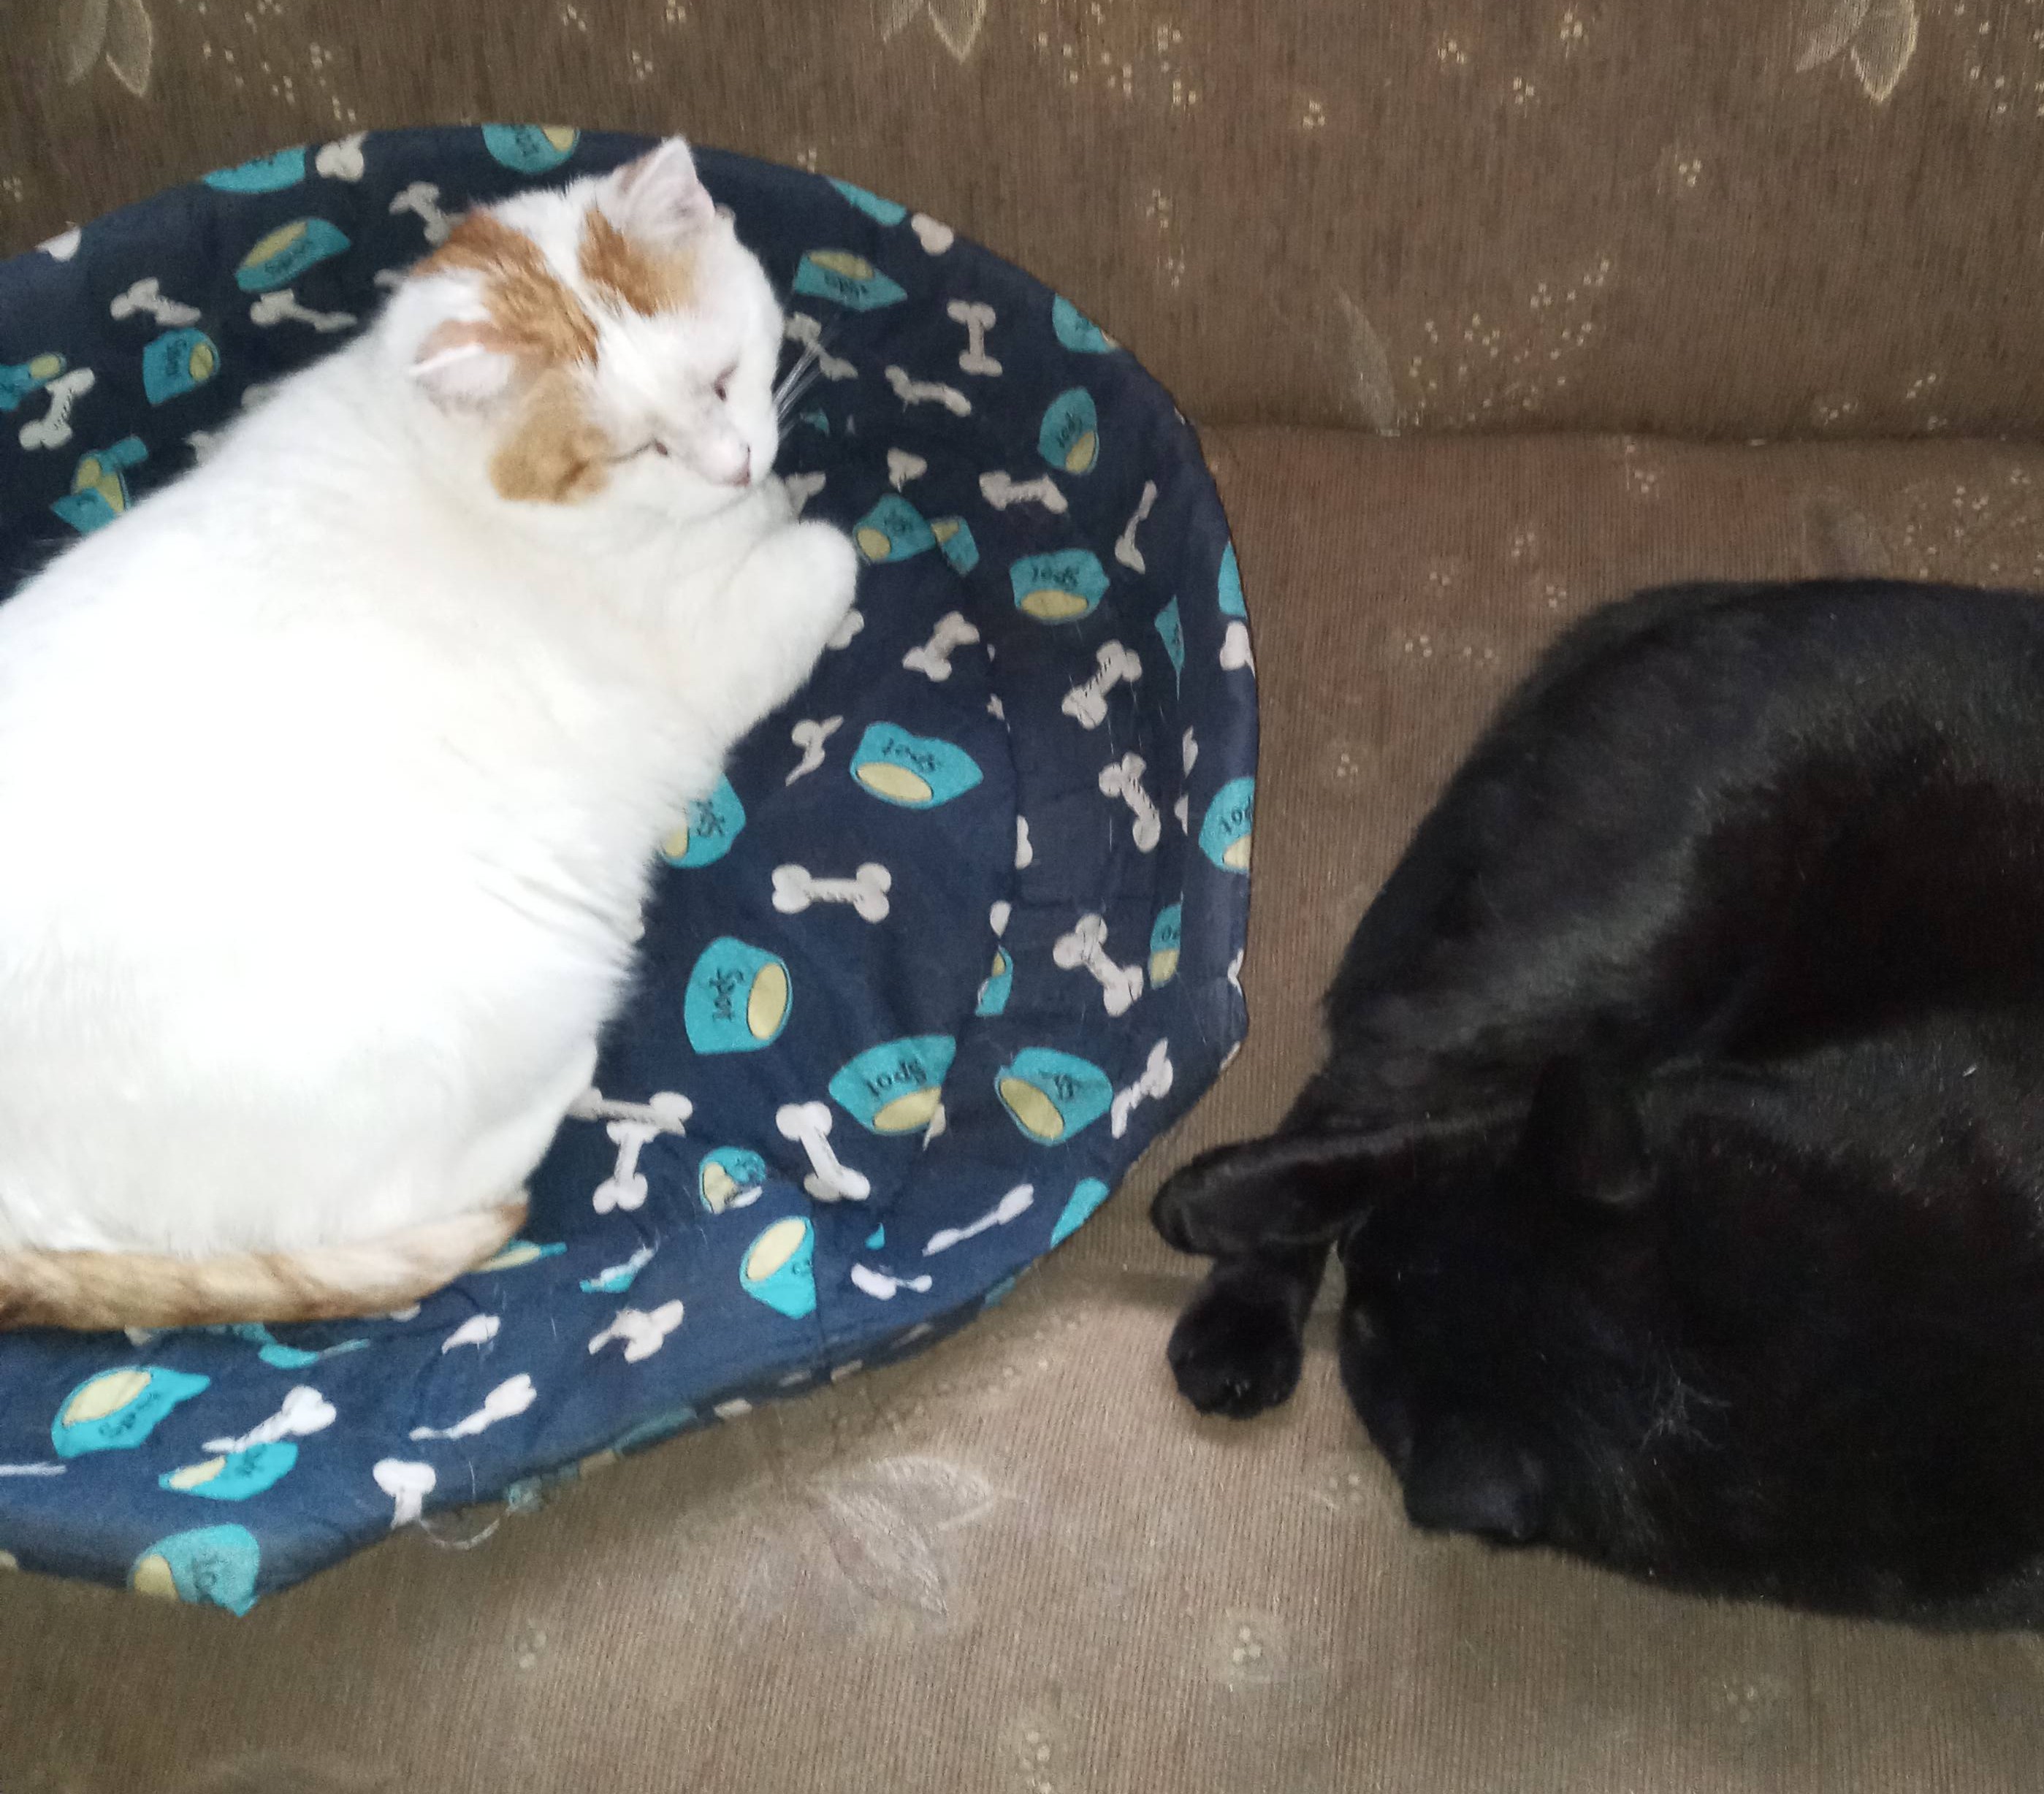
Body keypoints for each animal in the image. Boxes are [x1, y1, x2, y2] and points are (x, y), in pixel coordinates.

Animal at [0, 138, 858, 1330]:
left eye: (725, 377)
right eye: (637, 449)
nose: (734, 464)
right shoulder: (714, 643)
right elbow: (827, 552)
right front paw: (790, 518)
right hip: (496, 992)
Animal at [1153, 579, 2044, 1628]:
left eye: (1367, 1328)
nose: (1367, 1246)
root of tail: (1737, 598)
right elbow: (1387, 1144)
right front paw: (1197, 1204)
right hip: (1624, 948)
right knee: (1361, 1080)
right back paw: (1236, 1318)